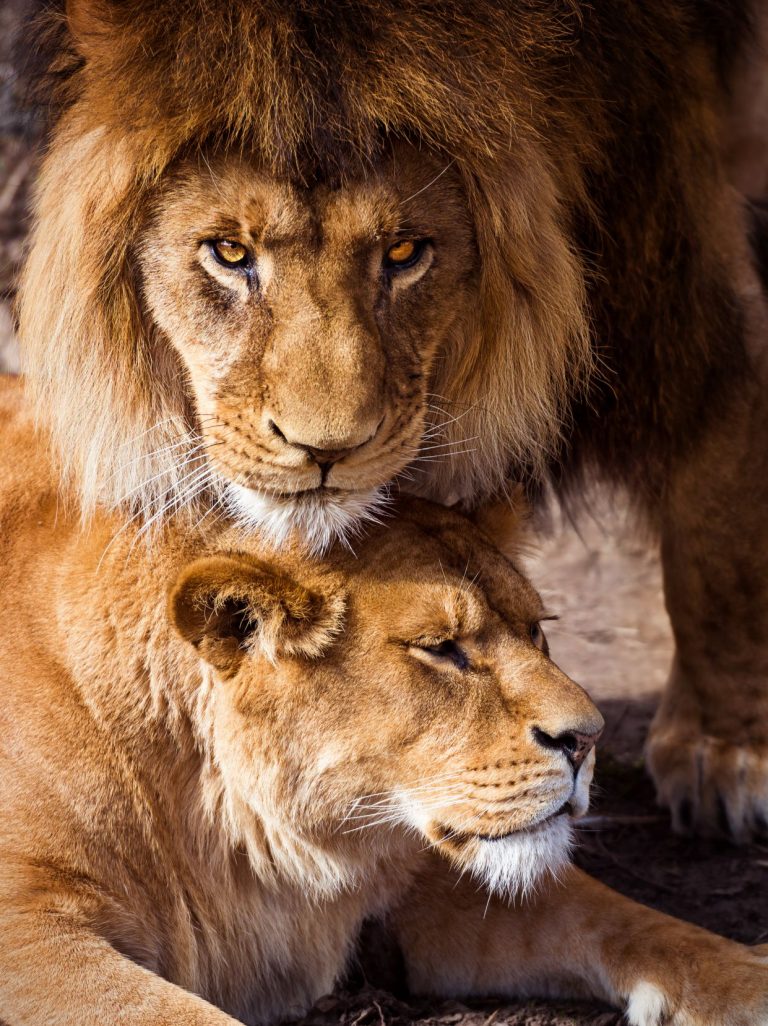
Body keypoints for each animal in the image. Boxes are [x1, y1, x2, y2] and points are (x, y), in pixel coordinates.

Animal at [1, 379, 766, 1026]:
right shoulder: (29, 931)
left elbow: (634, 922)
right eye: (442, 648)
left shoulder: (427, 876)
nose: (588, 738)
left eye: (536, 630)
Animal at [16, 0, 766, 833]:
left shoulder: (669, 230)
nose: (326, 450)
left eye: (405, 252)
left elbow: (720, 504)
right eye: (229, 253)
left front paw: (723, 747)